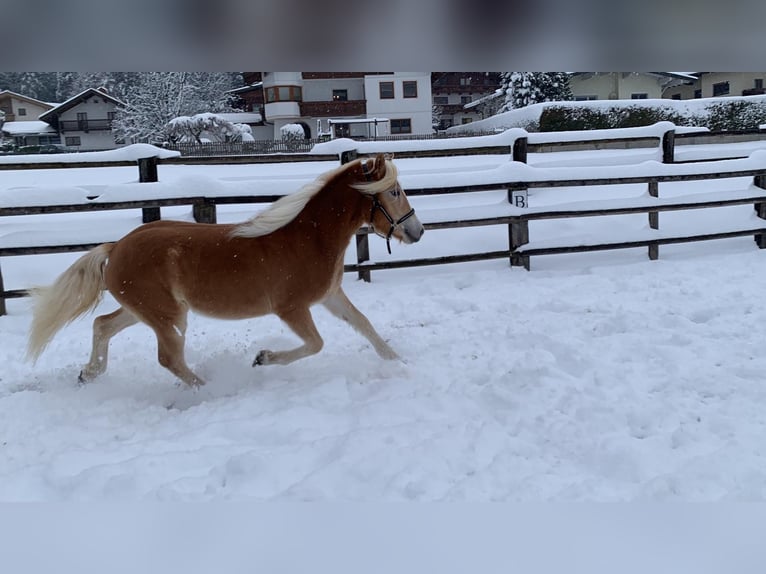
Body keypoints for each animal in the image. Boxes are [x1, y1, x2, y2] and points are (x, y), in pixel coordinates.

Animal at [27, 154, 426, 388]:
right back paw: (207, 390)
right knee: (168, 358)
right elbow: (316, 343)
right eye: (393, 191)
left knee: (102, 325)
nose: (417, 231)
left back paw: (89, 373)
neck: (308, 237)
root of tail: (116, 247)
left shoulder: (330, 296)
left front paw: (399, 362)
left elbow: (364, 324)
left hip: (145, 310)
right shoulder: (292, 308)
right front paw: (263, 358)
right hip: (168, 317)